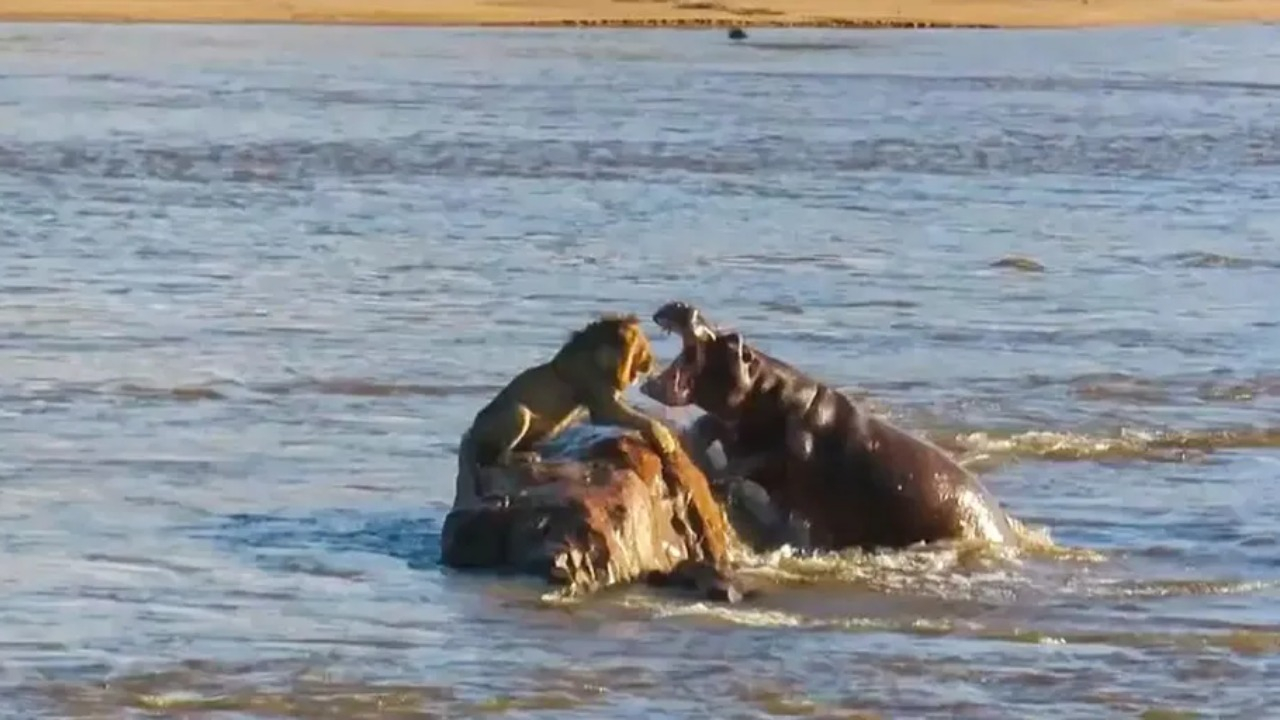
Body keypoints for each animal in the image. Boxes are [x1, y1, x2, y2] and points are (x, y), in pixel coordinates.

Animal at [458, 311, 680, 502]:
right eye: (645, 348)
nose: (653, 362)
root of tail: (471, 432)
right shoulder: (603, 405)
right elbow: (645, 420)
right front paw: (666, 439)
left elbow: (639, 416)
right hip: (518, 411)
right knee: (499, 459)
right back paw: (526, 457)